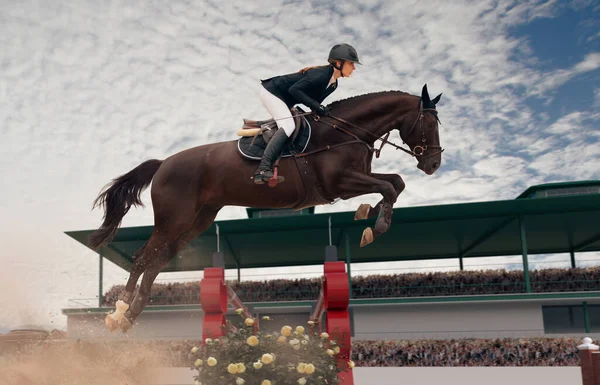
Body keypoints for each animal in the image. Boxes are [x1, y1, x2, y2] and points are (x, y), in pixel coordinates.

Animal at [90, 83, 446, 330]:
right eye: (429, 125)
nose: (433, 164)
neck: (344, 131)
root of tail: (163, 163)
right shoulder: (340, 182)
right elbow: (389, 185)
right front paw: (376, 226)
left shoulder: (357, 178)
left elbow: (395, 183)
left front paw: (371, 219)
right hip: (174, 219)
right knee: (142, 258)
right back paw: (118, 313)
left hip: (197, 221)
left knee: (157, 262)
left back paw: (131, 316)